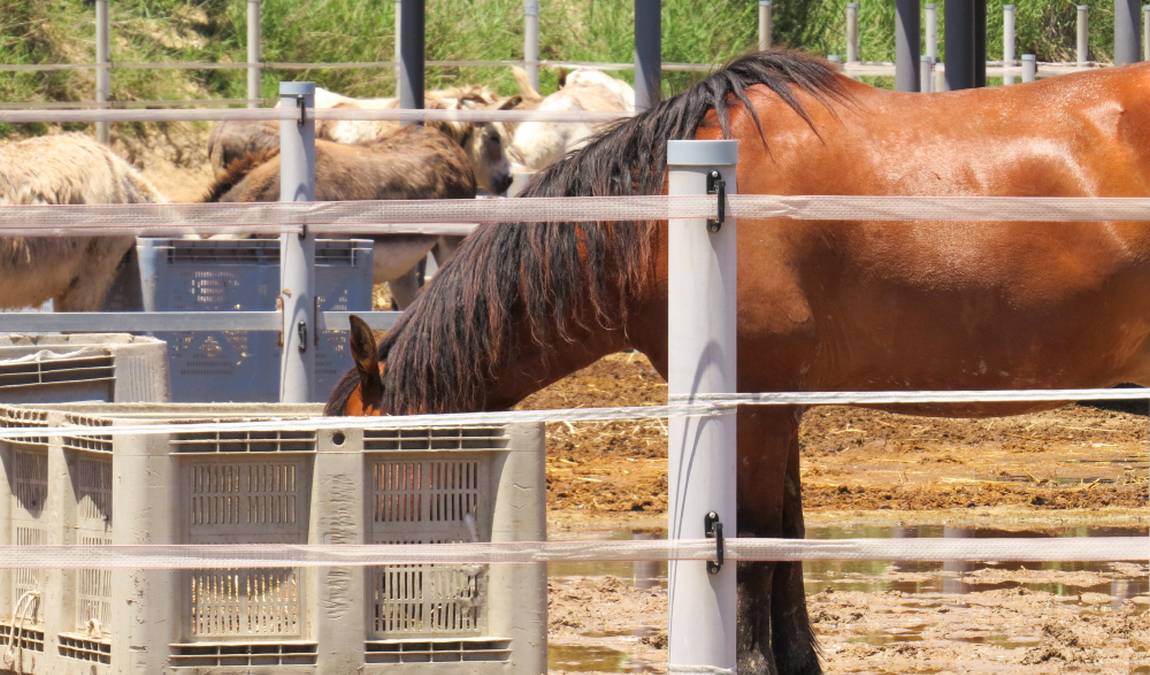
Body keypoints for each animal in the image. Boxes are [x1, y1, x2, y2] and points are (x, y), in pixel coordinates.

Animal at [325, 49, 1150, 673]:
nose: (354, 599)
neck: (674, 213)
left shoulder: (750, 406)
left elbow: (753, 545)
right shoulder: (777, 408)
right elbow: (785, 537)